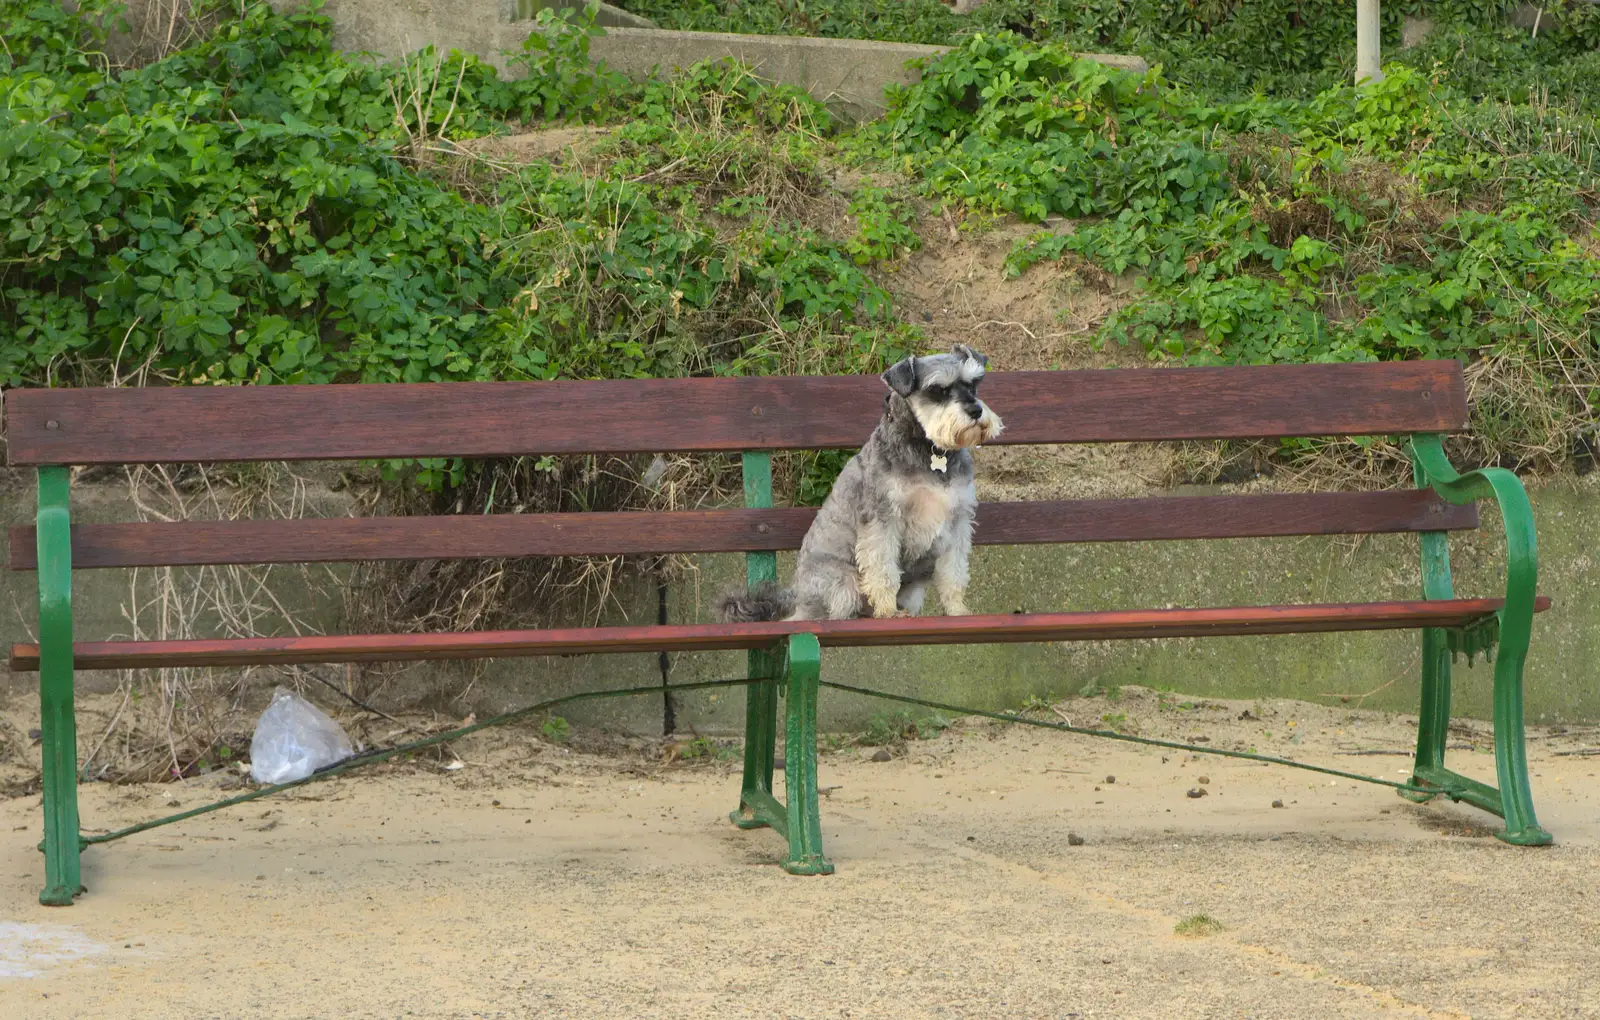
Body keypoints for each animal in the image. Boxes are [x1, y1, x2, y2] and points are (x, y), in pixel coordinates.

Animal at [723, 345, 998, 623]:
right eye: (938, 390)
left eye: (973, 384)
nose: (975, 411)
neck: (930, 451)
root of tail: (797, 596)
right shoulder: (883, 519)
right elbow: (883, 569)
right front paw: (888, 611)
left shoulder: (958, 520)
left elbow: (954, 572)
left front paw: (958, 610)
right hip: (843, 586)